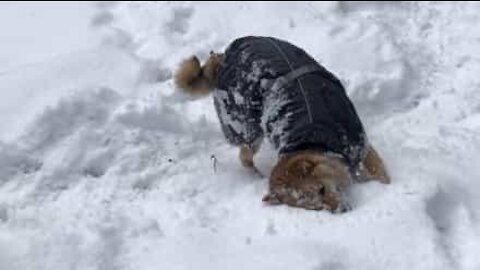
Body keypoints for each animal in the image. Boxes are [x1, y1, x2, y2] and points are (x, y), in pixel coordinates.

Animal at [173, 36, 390, 213]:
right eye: (315, 207)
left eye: (322, 189)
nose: (341, 210)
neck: (314, 140)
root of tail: (221, 61)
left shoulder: (361, 144)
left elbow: (381, 175)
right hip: (247, 130)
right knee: (245, 157)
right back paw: (257, 175)